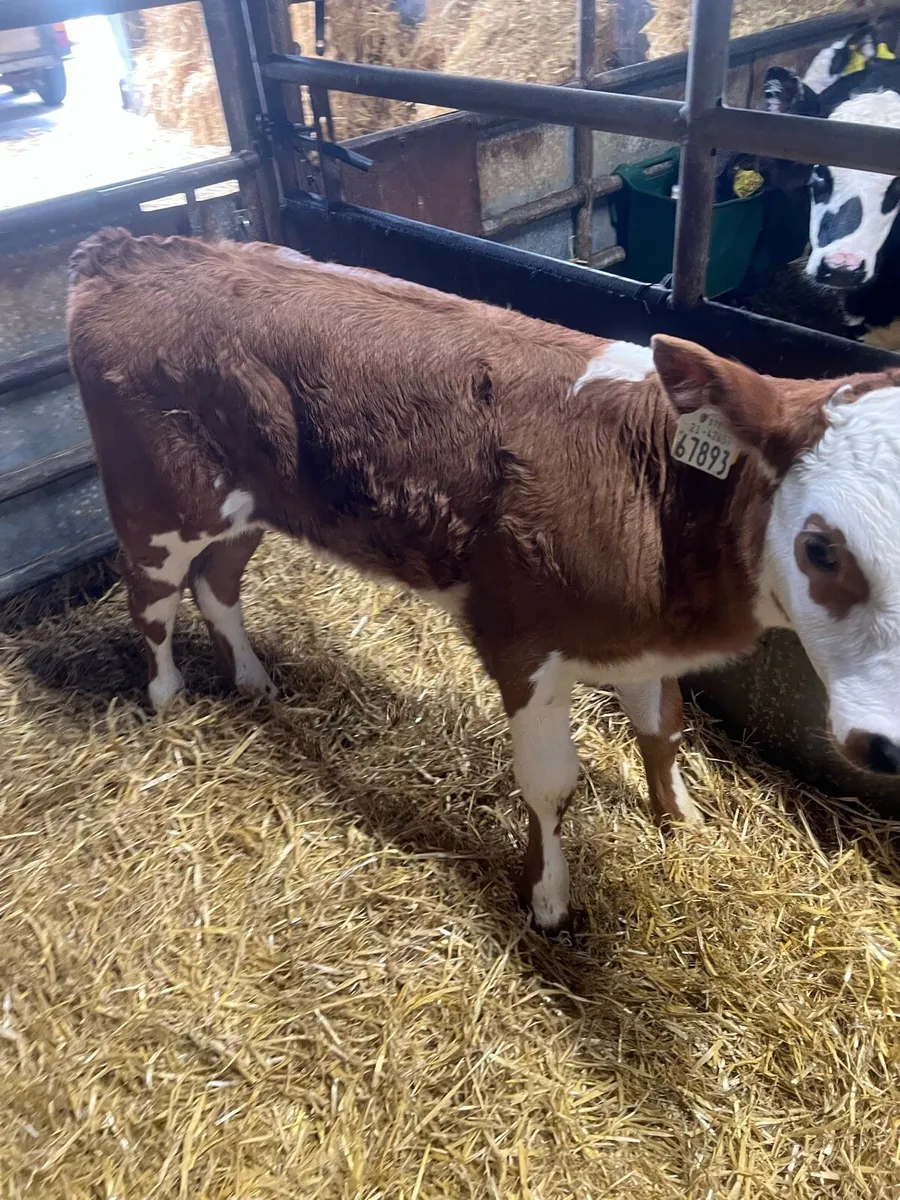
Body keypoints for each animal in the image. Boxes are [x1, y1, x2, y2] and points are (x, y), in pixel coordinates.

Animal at [67, 228, 900, 935]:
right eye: (821, 548)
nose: (888, 744)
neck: (655, 489)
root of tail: (124, 250)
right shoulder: (520, 638)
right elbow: (550, 782)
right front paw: (548, 900)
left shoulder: (644, 645)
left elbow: (662, 730)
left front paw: (679, 818)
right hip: (157, 498)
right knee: (151, 600)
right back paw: (169, 701)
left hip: (248, 504)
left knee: (219, 583)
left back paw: (252, 681)